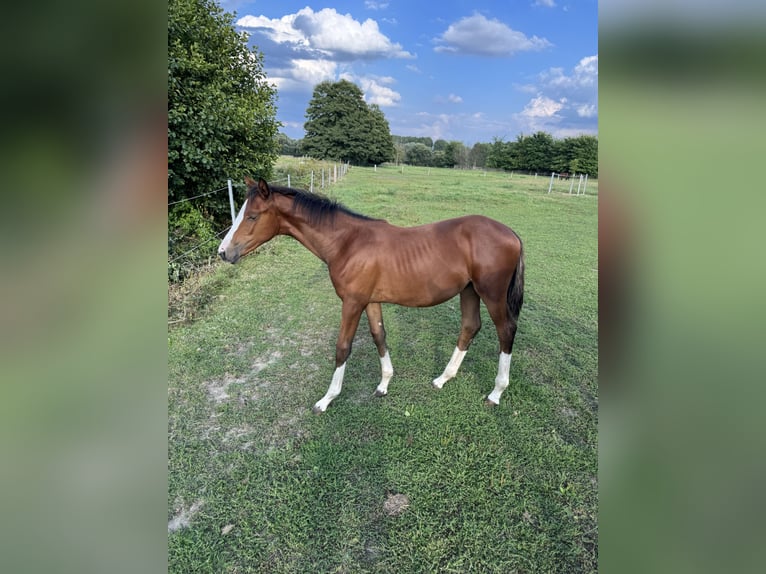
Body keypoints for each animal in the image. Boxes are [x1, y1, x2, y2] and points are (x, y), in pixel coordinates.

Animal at [218, 177, 524, 414]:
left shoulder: (352, 302)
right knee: (470, 327)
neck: (347, 242)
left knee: (506, 331)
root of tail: (511, 234)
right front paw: (384, 384)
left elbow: (343, 347)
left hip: (492, 294)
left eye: (253, 216)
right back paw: (442, 378)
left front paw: (326, 399)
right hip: (469, 291)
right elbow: (379, 335)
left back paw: (496, 393)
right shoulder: (370, 300)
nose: (223, 253)